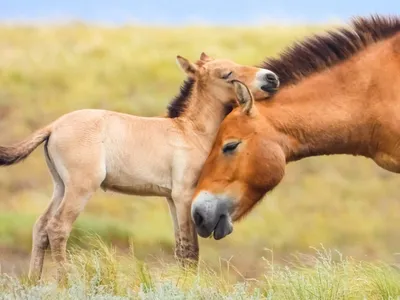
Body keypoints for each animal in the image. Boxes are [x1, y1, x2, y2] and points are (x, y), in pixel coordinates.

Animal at [0, 52, 278, 280]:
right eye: (227, 74)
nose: (271, 78)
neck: (190, 131)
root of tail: (54, 126)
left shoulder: (171, 198)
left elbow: (180, 247)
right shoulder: (185, 195)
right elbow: (191, 250)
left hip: (60, 186)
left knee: (41, 226)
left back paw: (33, 282)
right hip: (80, 188)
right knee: (57, 228)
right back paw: (65, 283)